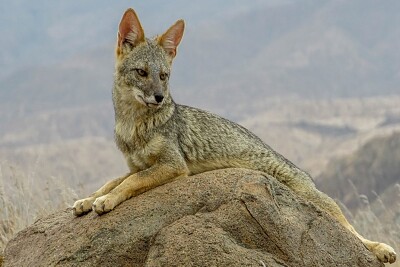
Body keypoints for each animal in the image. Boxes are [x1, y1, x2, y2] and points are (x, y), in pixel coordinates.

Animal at [72, 7, 396, 264]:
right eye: (141, 72)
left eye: (163, 76)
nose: (160, 98)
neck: (134, 127)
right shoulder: (137, 165)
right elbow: (112, 180)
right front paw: (87, 200)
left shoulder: (173, 165)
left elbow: (129, 183)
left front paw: (107, 201)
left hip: (320, 203)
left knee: (352, 233)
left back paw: (381, 249)